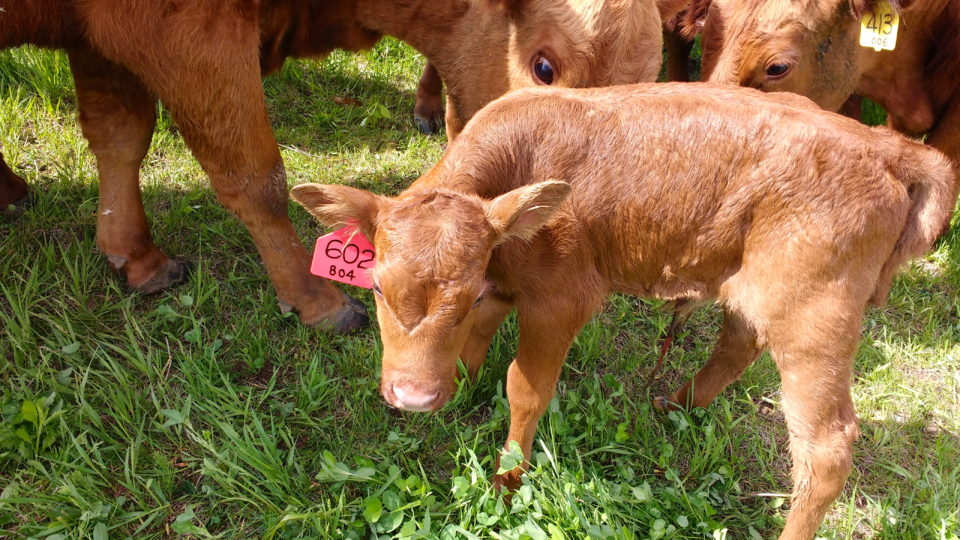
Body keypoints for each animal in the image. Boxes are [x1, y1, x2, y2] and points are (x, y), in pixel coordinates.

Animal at [0, 0, 664, 332]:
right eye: (544, 67)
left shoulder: (96, 41)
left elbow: (118, 136)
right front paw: (315, 297)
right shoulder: (183, 31)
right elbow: (256, 177)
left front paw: (135, 255)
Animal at [296, 82, 956, 536]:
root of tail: (887, 145)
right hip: (759, 290)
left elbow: (525, 387)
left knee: (826, 447)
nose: (412, 397)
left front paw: (508, 479)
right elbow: (479, 344)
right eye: (377, 288)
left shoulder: (561, 298)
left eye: (464, 293)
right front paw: (460, 382)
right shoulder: (506, 285)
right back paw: (676, 403)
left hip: (816, 316)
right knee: (737, 345)